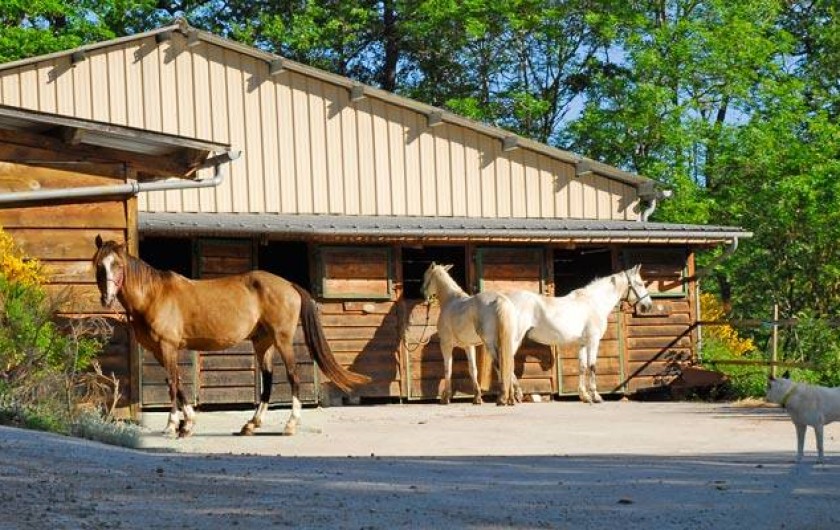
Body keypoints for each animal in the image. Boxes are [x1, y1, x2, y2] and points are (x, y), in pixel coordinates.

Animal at [92, 236, 370, 437]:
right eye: (98, 265)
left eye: (118, 265)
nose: (106, 299)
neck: (154, 295)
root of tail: (289, 285)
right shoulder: (159, 351)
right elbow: (179, 382)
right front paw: (187, 423)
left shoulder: (167, 346)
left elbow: (172, 384)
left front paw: (173, 425)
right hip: (263, 342)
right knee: (268, 381)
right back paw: (251, 424)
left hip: (282, 340)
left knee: (293, 376)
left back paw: (290, 424)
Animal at [421, 263, 517, 406]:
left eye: (425, 275)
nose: (423, 293)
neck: (450, 300)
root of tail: (500, 300)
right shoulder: (469, 346)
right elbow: (473, 370)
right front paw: (477, 398)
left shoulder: (446, 345)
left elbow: (448, 368)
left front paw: (445, 398)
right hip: (506, 341)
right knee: (508, 364)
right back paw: (511, 399)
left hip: (490, 343)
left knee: (500, 364)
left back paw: (502, 398)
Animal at [505, 265, 653, 403]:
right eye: (640, 284)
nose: (648, 306)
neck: (595, 303)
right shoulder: (593, 340)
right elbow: (592, 366)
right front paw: (596, 396)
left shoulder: (583, 343)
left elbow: (582, 366)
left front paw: (584, 396)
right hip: (516, 338)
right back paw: (517, 394)